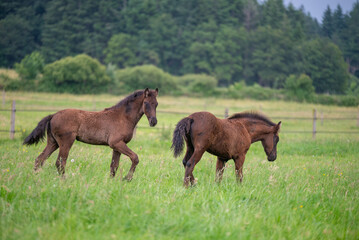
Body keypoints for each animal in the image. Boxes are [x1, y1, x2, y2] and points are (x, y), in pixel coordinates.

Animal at [23, 88, 159, 180]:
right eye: (146, 103)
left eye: (156, 104)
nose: (154, 121)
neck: (122, 117)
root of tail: (53, 115)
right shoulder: (116, 143)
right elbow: (135, 158)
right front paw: (127, 178)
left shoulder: (117, 146)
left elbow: (114, 166)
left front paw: (112, 182)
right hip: (66, 142)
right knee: (60, 162)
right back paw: (65, 180)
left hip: (53, 143)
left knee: (40, 159)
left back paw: (35, 177)